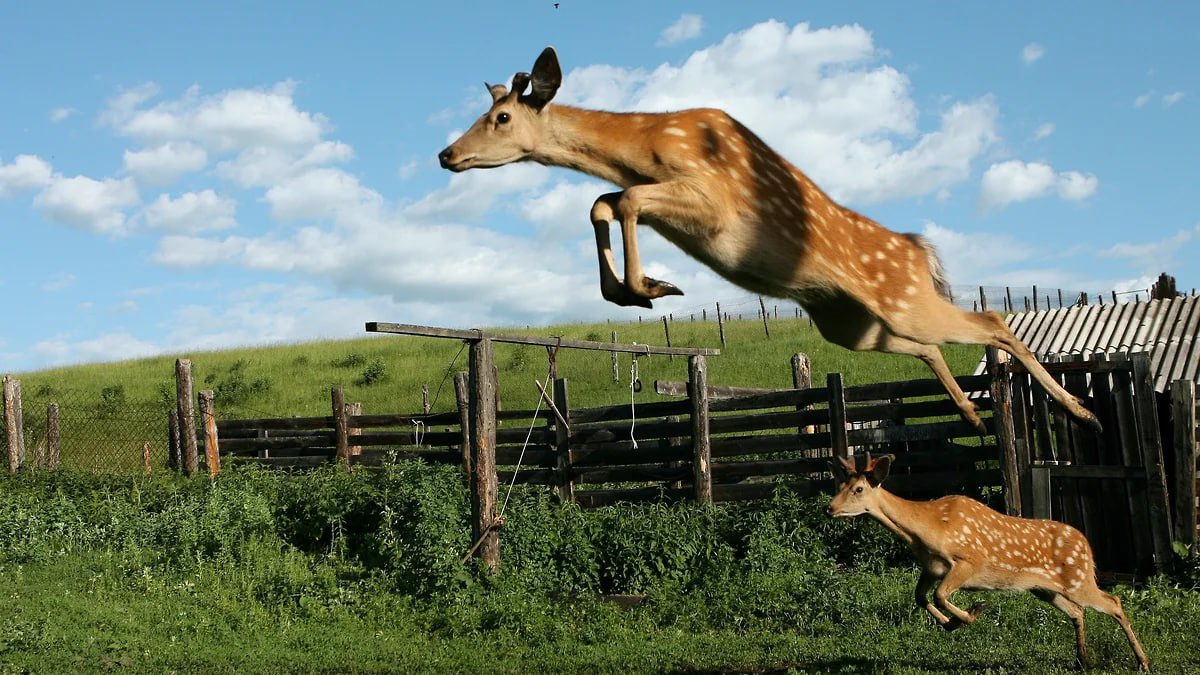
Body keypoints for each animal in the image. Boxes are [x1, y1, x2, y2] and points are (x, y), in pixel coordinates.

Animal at [436, 47, 1099, 429]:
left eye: (500, 117)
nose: (447, 154)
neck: (646, 148)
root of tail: (918, 251)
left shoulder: (712, 203)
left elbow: (621, 200)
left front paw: (647, 287)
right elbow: (603, 202)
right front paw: (636, 289)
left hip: (901, 299)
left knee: (993, 320)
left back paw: (1080, 411)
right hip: (854, 324)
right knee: (931, 346)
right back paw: (973, 415)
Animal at [830, 451, 1147, 667]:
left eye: (858, 489)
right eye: (840, 485)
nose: (828, 508)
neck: (925, 530)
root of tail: (1086, 547)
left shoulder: (969, 561)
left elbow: (940, 595)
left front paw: (972, 612)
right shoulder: (931, 567)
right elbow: (920, 597)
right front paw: (950, 623)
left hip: (1078, 580)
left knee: (1113, 602)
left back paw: (1142, 661)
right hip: (1045, 589)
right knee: (1077, 611)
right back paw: (1083, 659)